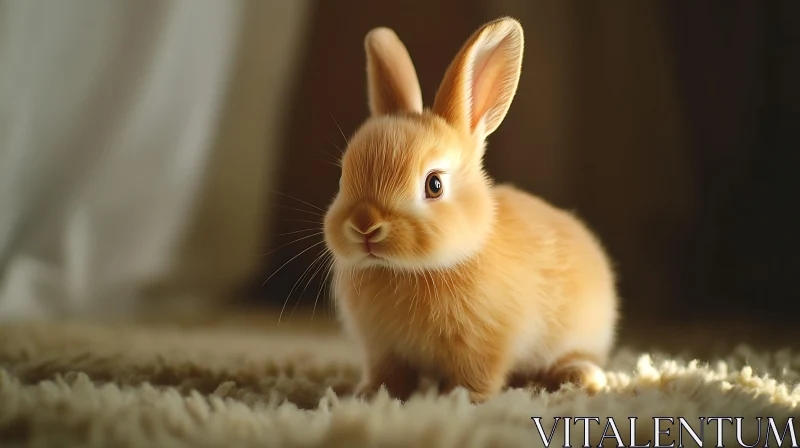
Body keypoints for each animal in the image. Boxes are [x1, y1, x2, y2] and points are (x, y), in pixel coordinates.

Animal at [322, 16, 620, 402]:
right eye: (343, 176)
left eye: (434, 185)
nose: (365, 226)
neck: (406, 271)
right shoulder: (384, 350)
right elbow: (390, 376)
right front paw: (371, 395)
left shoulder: (485, 346)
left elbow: (476, 377)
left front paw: (460, 400)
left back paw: (581, 378)